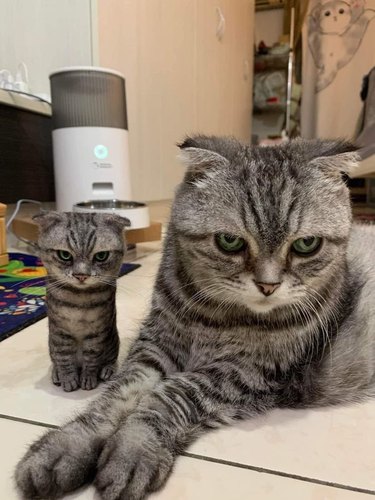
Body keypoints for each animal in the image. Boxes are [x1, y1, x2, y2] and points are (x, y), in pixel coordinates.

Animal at [34, 211, 128, 390]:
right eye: (64, 255)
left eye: (101, 256)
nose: (81, 275)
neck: (78, 298)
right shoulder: (59, 332)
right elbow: (64, 358)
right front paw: (68, 379)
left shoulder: (97, 333)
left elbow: (91, 358)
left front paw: (88, 379)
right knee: (55, 360)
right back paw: (56, 373)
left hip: (113, 341)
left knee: (111, 359)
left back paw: (107, 370)